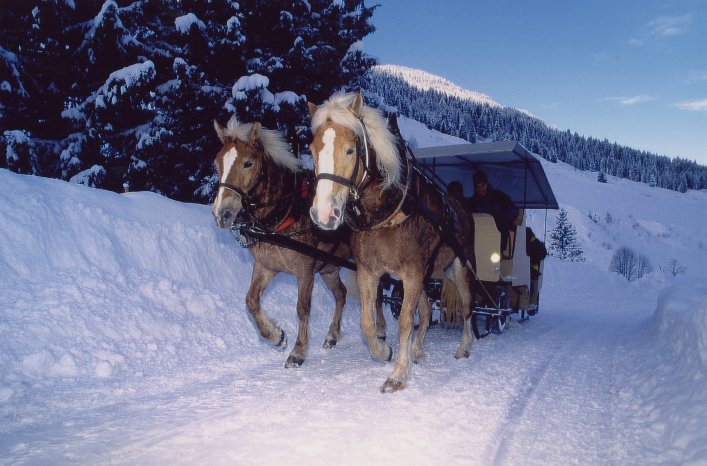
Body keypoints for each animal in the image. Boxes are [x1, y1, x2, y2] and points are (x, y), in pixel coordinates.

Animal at [212, 116, 360, 368]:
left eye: (248, 163)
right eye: (217, 163)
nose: (223, 213)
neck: (286, 212)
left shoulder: (305, 270)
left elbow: (302, 308)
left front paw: (298, 352)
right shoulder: (266, 266)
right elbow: (251, 301)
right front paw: (276, 336)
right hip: (329, 267)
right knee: (341, 293)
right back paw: (332, 335)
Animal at [308, 93, 478, 392]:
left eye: (350, 150)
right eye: (312, 150)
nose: (324, 214)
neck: (389, 210)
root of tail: (461, 207)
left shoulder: (411, 274)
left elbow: (405, 323)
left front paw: (398, 374)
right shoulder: (369, 271)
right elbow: (367, 321)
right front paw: (383, 351)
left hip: (459, 268)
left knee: (468, 307)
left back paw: (463, 347)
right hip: (430, 273)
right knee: (426, 311)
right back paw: (418, 351)